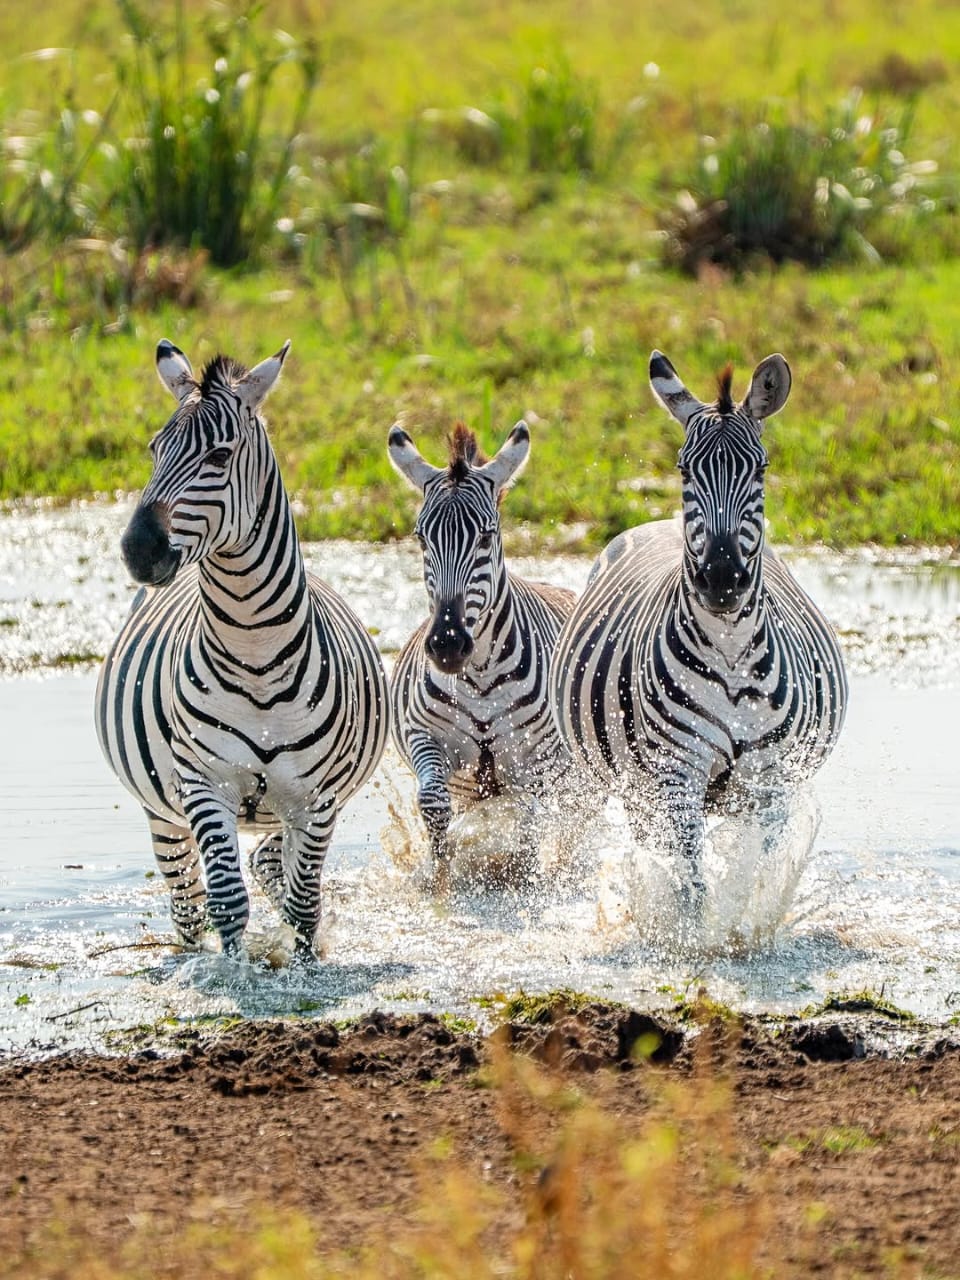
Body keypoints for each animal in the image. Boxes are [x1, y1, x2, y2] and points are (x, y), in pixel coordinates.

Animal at [95, 340, 389, 958]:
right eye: (154, 450)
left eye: (220, 456)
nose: (138, 550)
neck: (256, 654)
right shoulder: (205, 783)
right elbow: (228, 901)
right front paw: (235, 971)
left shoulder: (316, 800)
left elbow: (304, 903)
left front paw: (302, 966)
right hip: (164, 814)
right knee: (187, 904)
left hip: (291, 811)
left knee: (273, 865)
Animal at [388, 419, 576, 878]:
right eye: (421, 539)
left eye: (486, 537)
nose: (448, 644)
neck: (480, 678)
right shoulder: (424, 736)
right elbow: (433, 805)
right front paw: (440, 874)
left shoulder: (540, 763)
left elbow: (528, 820)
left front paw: (521, 875)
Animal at [551, 350, 847, 921]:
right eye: (685, 469)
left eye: (761, 468)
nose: (722, 578)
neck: (730, 651)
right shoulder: (676, 776)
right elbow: (690, 885)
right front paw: (691, 937)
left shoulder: (769, 783)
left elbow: (755, 877)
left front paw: (746, 930)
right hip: (632, 788)